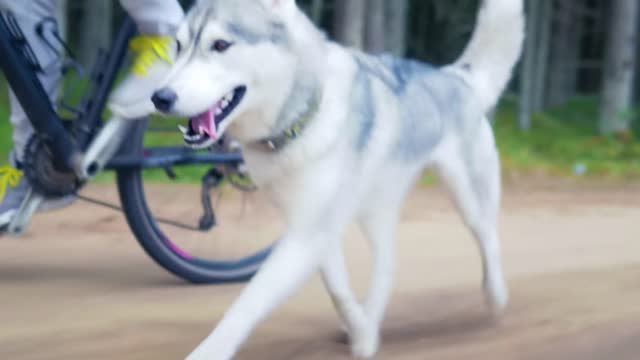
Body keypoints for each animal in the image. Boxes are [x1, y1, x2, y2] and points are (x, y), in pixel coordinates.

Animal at [151, 0, 524, 358]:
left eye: (221, 45)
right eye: (178, 46)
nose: (160, 97)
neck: (299, 123)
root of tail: (456, 76)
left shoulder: (307, 233)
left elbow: (249, 302)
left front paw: (209, 351)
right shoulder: (315, 229)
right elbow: (338, 289)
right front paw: (359, 329)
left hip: (467, 198)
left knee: (488, 238)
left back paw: (496, 295)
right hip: (375, 211)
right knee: (387, 264)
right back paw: (371, 325)